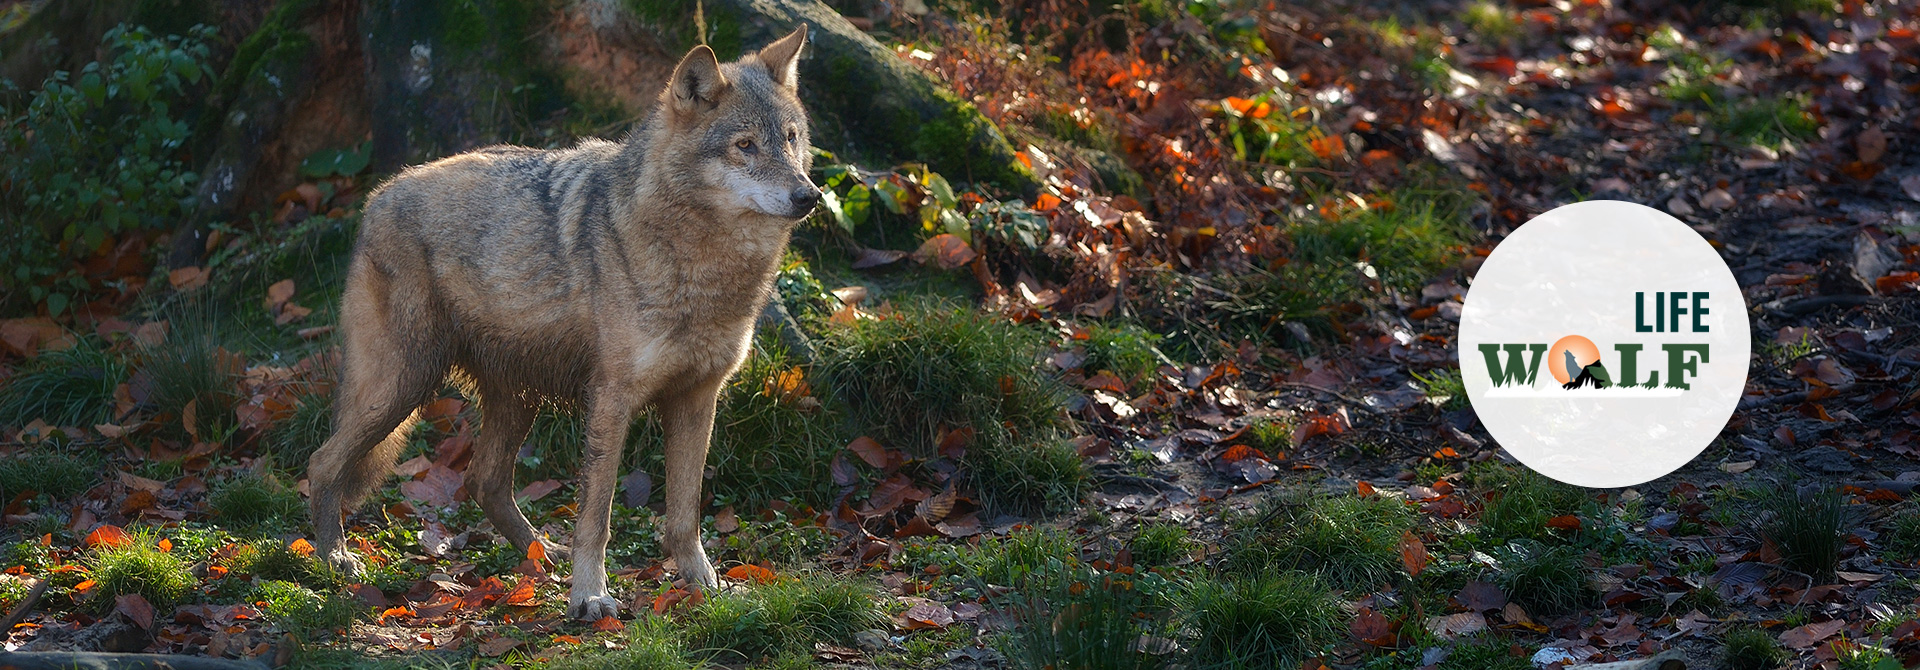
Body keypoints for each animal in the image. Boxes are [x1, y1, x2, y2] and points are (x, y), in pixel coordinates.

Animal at [305, 27, 817, 622]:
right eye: (745, 145)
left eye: (791, 139)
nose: (809, 195)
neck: (703, 268)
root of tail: (379, 195)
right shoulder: (613, 399)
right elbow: (596, 515)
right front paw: (590, 596)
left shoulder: (696, 397)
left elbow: (685, 514)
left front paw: (702, 583)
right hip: (405, 385)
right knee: (323, 463)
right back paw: (334, 558)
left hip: (513, 398)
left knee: (483, 480)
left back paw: (537, 554)